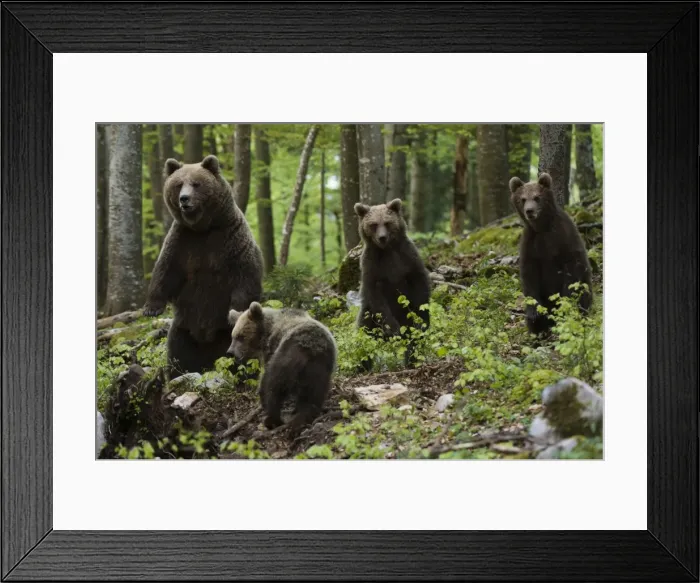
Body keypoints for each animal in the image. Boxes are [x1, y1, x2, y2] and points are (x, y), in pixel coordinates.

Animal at [143, 155, 264, 377]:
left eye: (196, 184)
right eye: (179, 184)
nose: (184, 199)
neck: (202, 229)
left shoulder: (230, 239)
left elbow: (245, 274)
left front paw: (236, 311)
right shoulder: (182, 242)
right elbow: (165, 271)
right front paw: (151, 309)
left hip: (228, 337)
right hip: (183, 328)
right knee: (178, 352)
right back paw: (176, 373)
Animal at [227, 302, 337, 431]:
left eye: (241, 336)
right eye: (233, 336)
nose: (231, 352)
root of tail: (308, 350)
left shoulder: (271, 350)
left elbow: (266, 379)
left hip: (285, 357)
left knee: (273, 385)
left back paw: (272, 419)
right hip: (319, 368)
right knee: (313, 394)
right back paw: (304, 416)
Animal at [353, 198, 431, 369]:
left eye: (387, 223)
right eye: (374, 224)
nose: (382, 237)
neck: (386, 250)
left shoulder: (407, 257)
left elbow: (420, 284)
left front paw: (421, 319)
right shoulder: (372, 265)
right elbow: (375, 292)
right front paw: (393, 328)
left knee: (413, 340)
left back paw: (412, 361)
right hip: (368, 315)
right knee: (363, 337)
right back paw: (362, 366)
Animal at [509, 172, 593, 335]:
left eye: (537, 197)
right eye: (522, 199)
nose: (529, 211)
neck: (542, 227)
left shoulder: (563, 237)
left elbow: (572, 267)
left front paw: (565, 302)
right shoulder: (531, 244)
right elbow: (529, 276)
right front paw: (534, 313)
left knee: (583, 294)